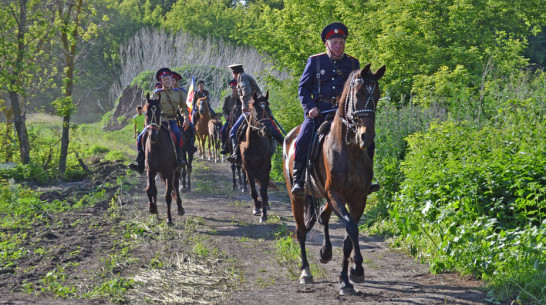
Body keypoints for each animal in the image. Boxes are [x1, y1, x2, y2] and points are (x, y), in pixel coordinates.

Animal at [141, 92, 186, 223]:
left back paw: (180, 208)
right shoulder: (150, 170)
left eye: (159, 113)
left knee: (175, 185)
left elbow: (167, 196)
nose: (153, 135)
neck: (157, 146)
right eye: (147, 113)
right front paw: (152, 208)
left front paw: (169, 219)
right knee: (156, 190)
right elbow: (150, 190)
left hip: (175, 171)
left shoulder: (169, 172)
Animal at [238, 90, 272, 221]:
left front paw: (264, 214)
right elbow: (253, 190)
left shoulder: (265, 167)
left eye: (269, 110)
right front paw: (257, 206)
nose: (267, 129)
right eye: (257, 111)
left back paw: (266, 204)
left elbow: (262, 190)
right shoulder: (248, 168)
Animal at [282, 64, 384, 294]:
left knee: (322, 215)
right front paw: (356, 269)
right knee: (301, 231)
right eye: (359, 93)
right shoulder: (336, 195)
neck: (350, 150)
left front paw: (348, 277)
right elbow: (351, 229)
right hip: (297, 197)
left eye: (377, 95)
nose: (366, 137)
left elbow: (348, 237)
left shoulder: (358, 199)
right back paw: (306, 272)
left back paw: (326, 252)